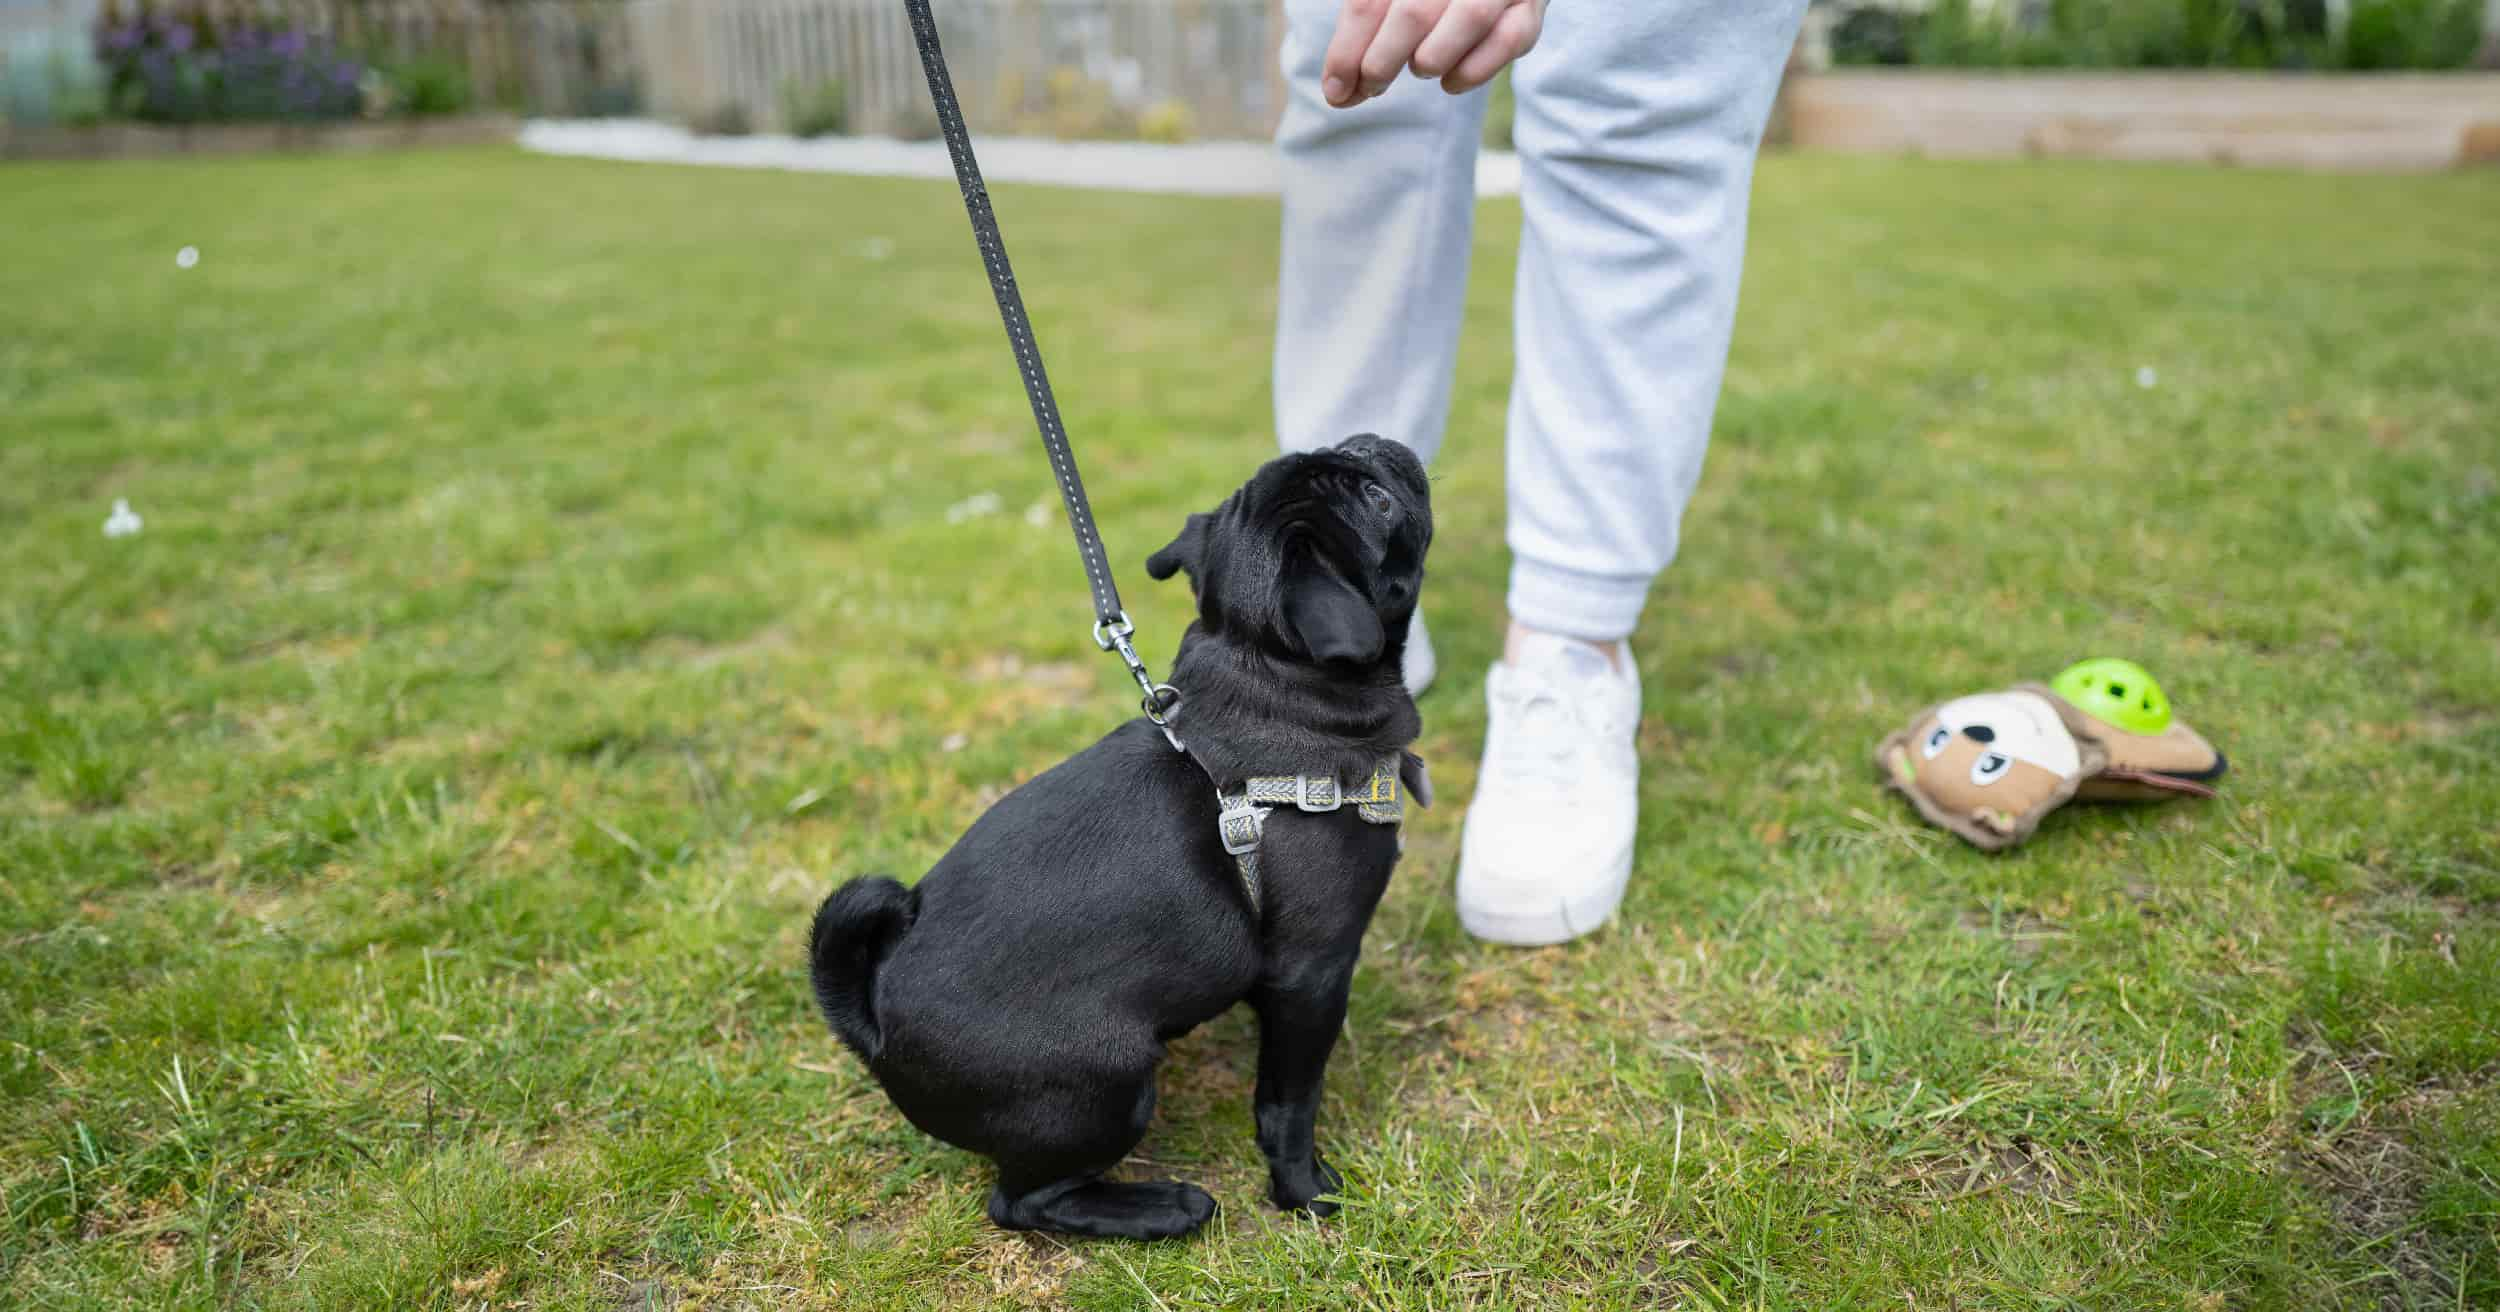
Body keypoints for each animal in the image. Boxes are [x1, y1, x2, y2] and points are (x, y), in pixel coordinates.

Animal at [800, 437, 1430, 1239]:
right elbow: (1289, 1102)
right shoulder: (1311, 973)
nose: (1369, 443)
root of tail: (873, 1022)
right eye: (1376, 501)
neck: (1269, 676)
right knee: (1022, 1202)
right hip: (1108, 1082)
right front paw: (1304, 1189)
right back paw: (1163, 1209)